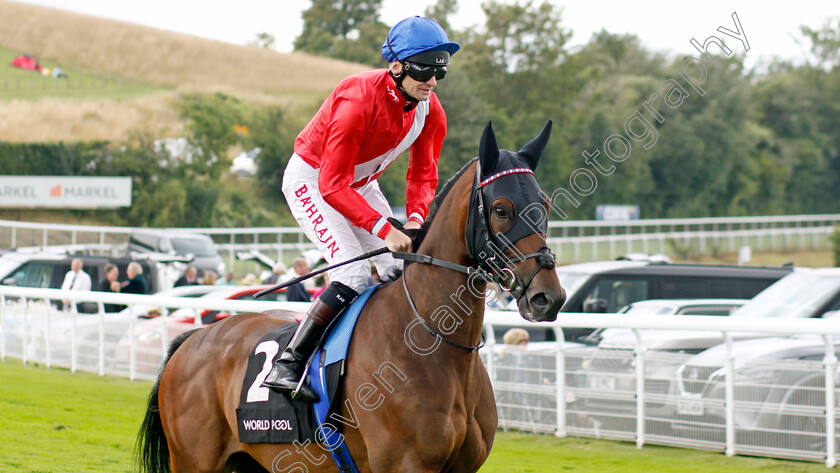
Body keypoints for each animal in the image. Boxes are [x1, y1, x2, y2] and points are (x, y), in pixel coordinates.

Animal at [139, 122, 564, 472]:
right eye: (501, 209)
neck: (433, 341)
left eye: (544, 203)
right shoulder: (407, 465)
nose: (549, 297)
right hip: (193, 461)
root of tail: (192, 339)